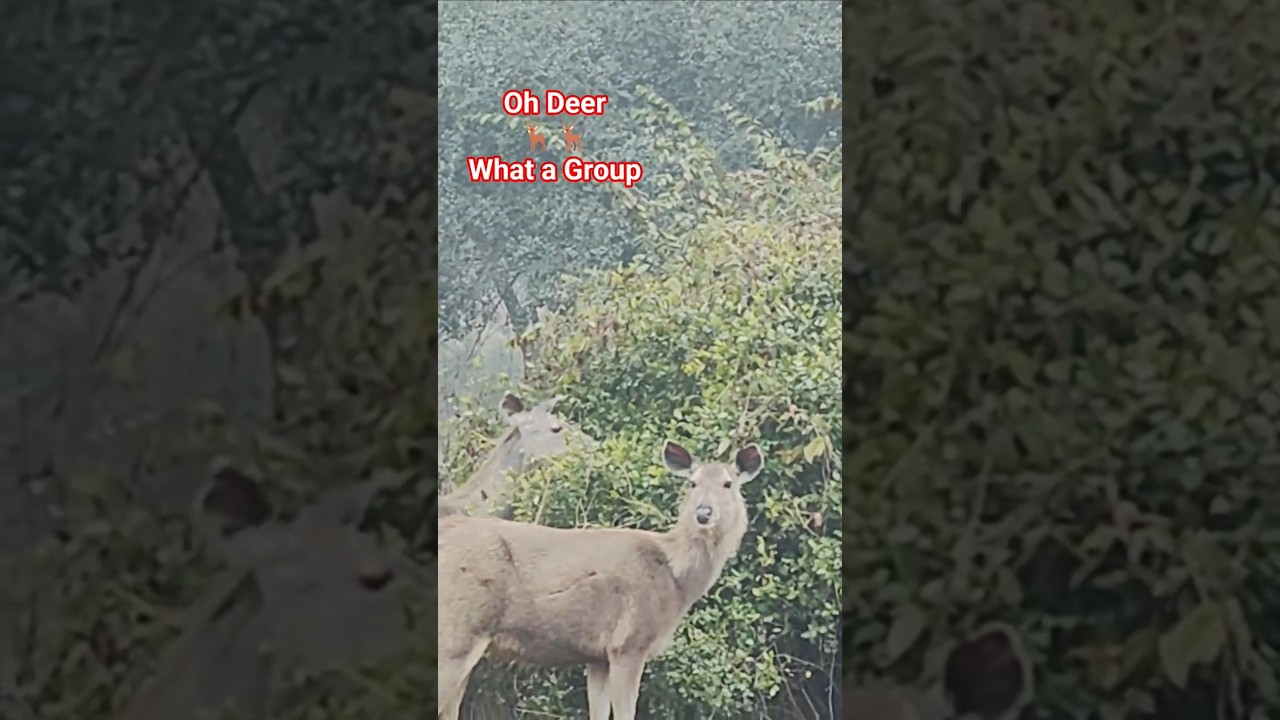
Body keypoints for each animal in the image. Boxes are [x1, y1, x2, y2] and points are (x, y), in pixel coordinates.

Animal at [437, 439, 765, 720]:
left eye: (728, 483)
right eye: (692, 482)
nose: (704, 513)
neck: (675, 577)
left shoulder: (597, 656)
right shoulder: (628, 643)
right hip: (457, 633)